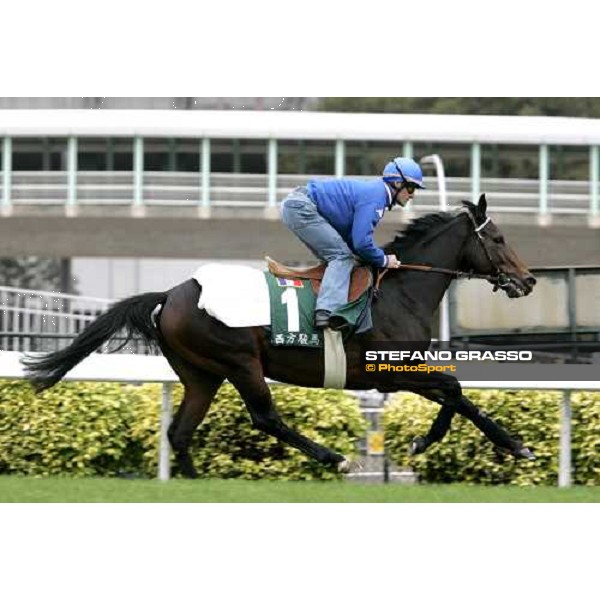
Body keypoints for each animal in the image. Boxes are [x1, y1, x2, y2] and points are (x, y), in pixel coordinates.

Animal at [22, 196, 536, 478]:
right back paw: (336, 459)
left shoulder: (399, 373)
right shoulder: (390, 371)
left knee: (180, 430)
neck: (399, 289)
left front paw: (511, 446)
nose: (528, 281)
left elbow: (458, 395)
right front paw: (428, 443)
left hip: (201, 374)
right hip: (239, 362)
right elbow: (454, 390)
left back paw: (195, 481)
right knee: (266, 418)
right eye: (499, 239)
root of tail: (170, 294)